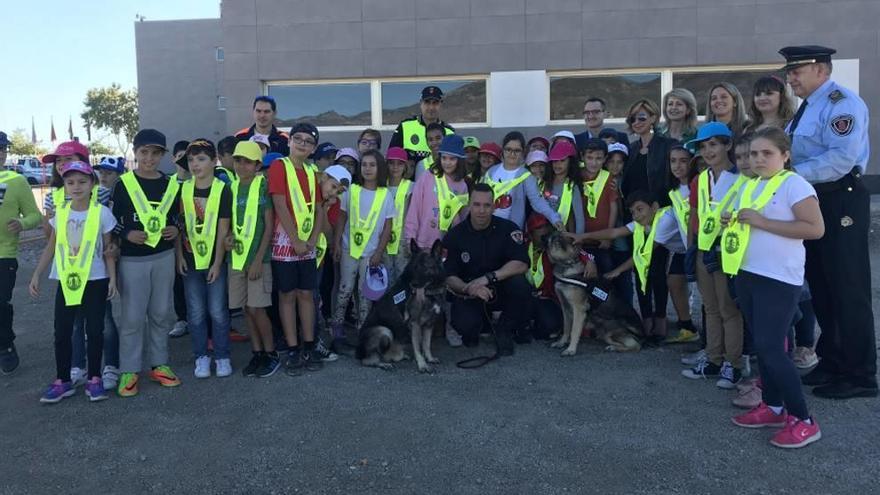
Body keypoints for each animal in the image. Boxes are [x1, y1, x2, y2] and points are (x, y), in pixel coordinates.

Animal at [356, 239, 446, 372]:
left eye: (425, 267)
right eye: (415, 267)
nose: (413, 284)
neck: (429, 292)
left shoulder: (429, 325)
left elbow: (426, 344)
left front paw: (429, 358)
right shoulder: (415, 324)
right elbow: (418, 348)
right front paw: (422, 364)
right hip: (384, 330)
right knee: (367, 360)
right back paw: (382, 364)